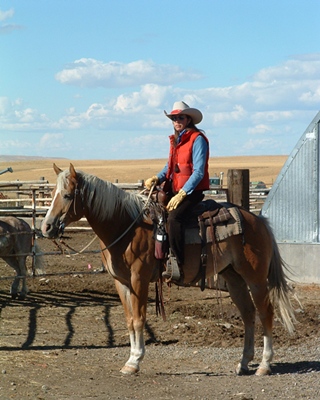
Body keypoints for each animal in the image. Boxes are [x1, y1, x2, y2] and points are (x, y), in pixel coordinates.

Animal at [41, 164, 296, 376]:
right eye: (51, 195)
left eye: (67, 195)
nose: (46, 227)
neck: (127, 227)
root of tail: (258, 220)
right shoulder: (121, 282)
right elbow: (129, 320)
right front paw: (130, 359)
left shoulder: (139, 279)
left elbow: (139, 319)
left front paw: (135, 361)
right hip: (233, 278)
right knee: (248, 314)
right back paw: (243, 363)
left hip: (255, 278)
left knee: (265, 313)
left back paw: (264, 365)